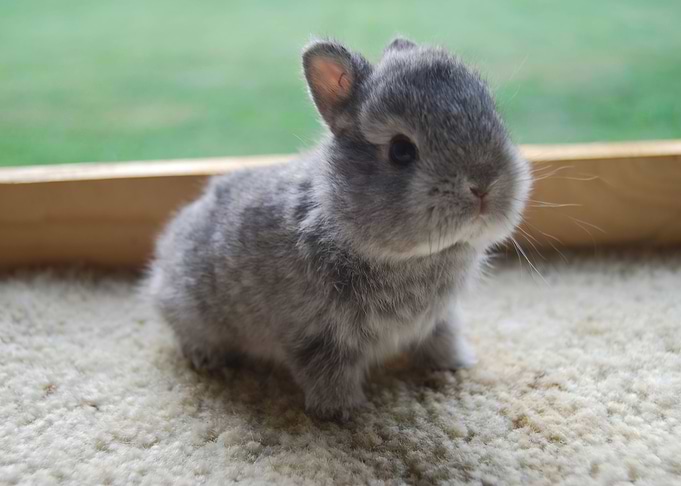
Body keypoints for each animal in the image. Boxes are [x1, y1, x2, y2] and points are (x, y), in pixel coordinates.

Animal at [147, 37, 531, 420]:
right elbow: (327, 371)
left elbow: (443, 339)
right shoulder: (316, 337)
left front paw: (456, 364)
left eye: (494, 118)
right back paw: (207, 358)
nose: (483, 186)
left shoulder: (439, 320)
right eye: (401, 150)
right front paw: (342, 412)